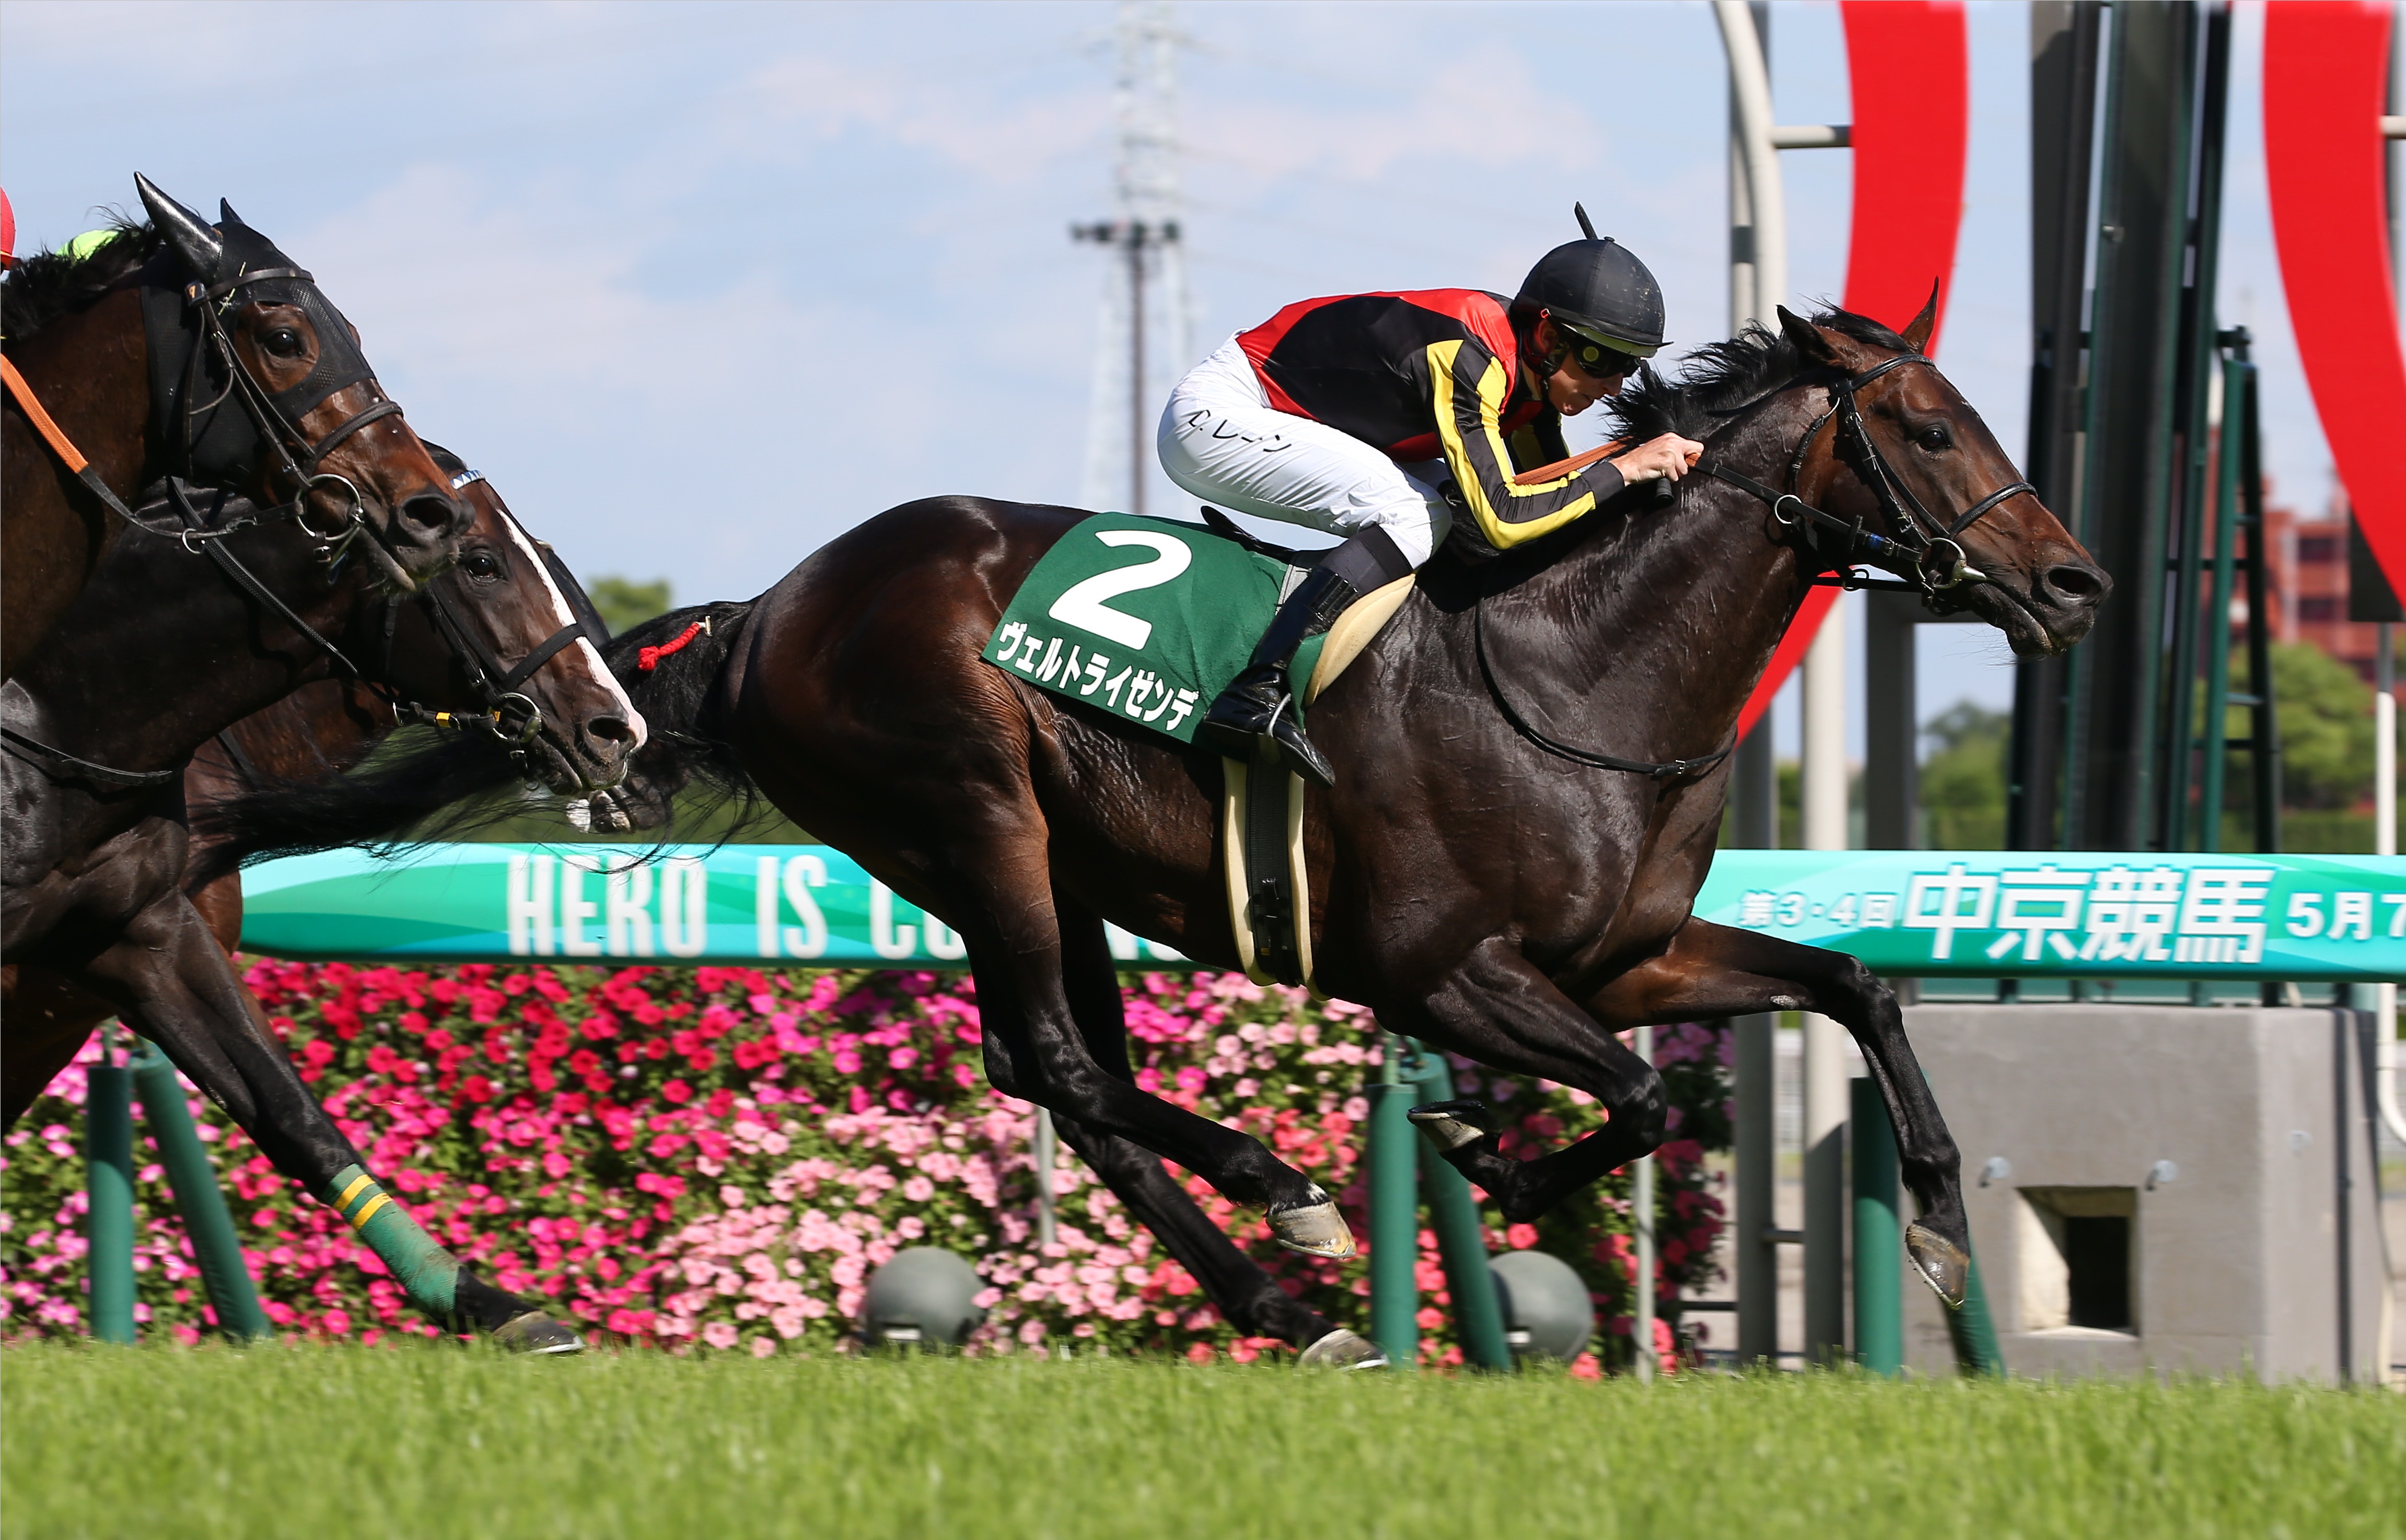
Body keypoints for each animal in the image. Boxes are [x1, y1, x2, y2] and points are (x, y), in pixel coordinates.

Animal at [1, 451, 641, 1350]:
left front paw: (492, 1305)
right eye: (481, 563)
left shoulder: (136, 940)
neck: (60, 715)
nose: (616, 729)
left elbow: (293, 1114)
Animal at [209, 303, 2109, 1362]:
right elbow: (1650, 1097)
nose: (2076, 581)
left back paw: (1295, 1300)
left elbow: (1842, 991)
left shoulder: (1621, 954)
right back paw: (1295, 1215)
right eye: (1926, 425)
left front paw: (1940, 1217)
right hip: (973, 818)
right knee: (1058, 1058)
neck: (1577, 669)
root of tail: (771, 609)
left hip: (1049, 860)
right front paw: (1486, 1169)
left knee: (1071, 1077)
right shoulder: (1439, 971)